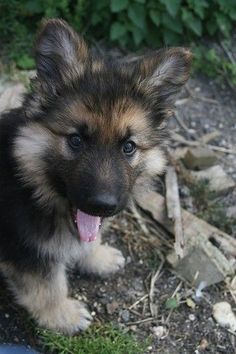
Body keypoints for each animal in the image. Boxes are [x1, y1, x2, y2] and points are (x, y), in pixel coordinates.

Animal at [0, 18, 192, 334]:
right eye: (76, 140)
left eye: (128, 147)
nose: (103, 205)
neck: (30, 184)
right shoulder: (25, 248)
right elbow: (46, 286)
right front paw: (63, 315)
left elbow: (87, 239)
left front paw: (97, 256)